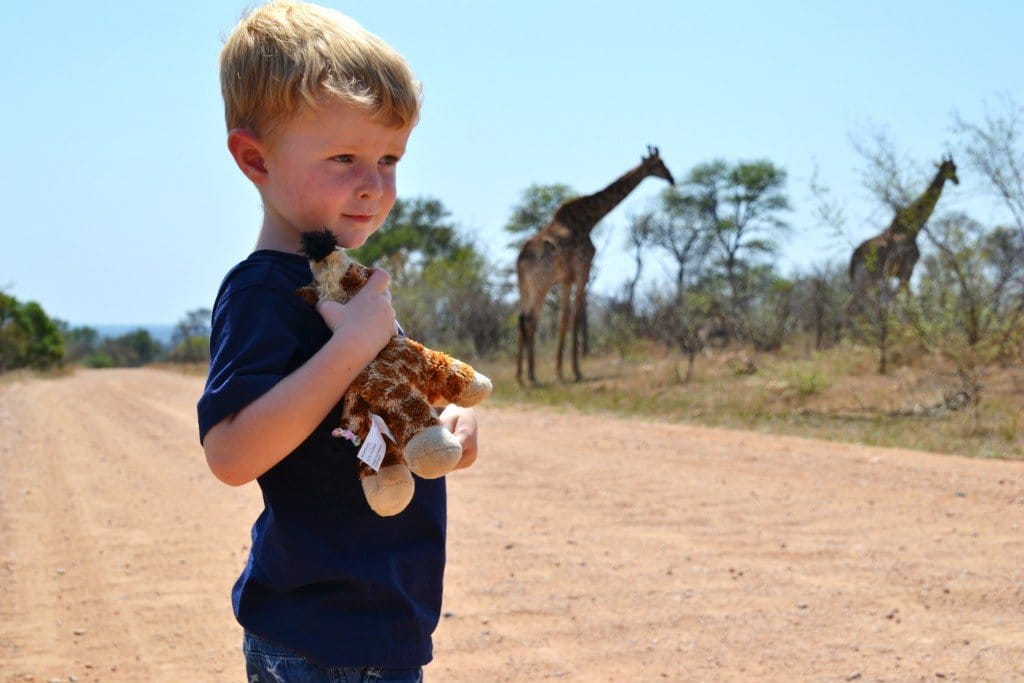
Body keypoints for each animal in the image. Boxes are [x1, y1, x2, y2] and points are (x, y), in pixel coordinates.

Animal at [516, 145, 675, 385]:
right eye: (660, 163)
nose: (672, 179)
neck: (589, 219)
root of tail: (521, 259)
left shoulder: (566, 278)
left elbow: (563, 319)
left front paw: (560, 371)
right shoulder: (583, 270)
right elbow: (573, 319)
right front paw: (574, 371)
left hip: (525, 287)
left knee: (522, 320)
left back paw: (521, 375)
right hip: (541, 285)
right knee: (530, 320)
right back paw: (531, 375)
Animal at [847, 156, 958, 309]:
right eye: (952, 168)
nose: (957, 180)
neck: (913, 228)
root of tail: (853, 259)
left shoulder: (901, 274)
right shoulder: (907, 270)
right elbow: (904, 301)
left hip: (864, 281)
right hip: (869, 278)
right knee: (852, 307)